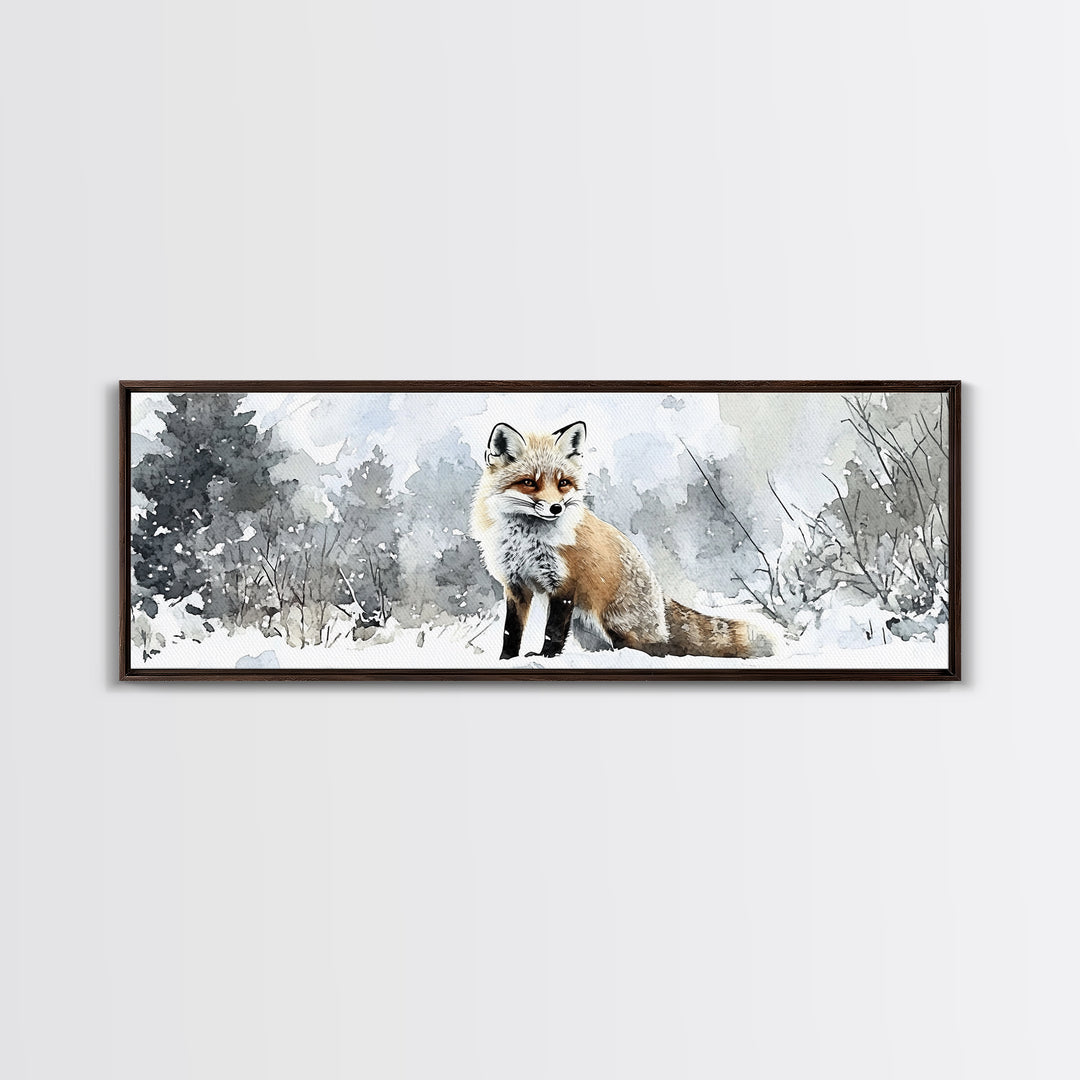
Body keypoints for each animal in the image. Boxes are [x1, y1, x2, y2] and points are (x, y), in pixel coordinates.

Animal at [470, 420, 775, 661]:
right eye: (529, 483)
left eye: (563, 483)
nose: (556, 508)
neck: (526, 540)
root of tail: (659, 596)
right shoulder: (515, 583)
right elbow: (511, 631)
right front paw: (506, 659)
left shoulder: (565, 584)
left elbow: (553, 631)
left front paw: (546, 657)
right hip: (586, 630)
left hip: (613, 622)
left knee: (657, 649)